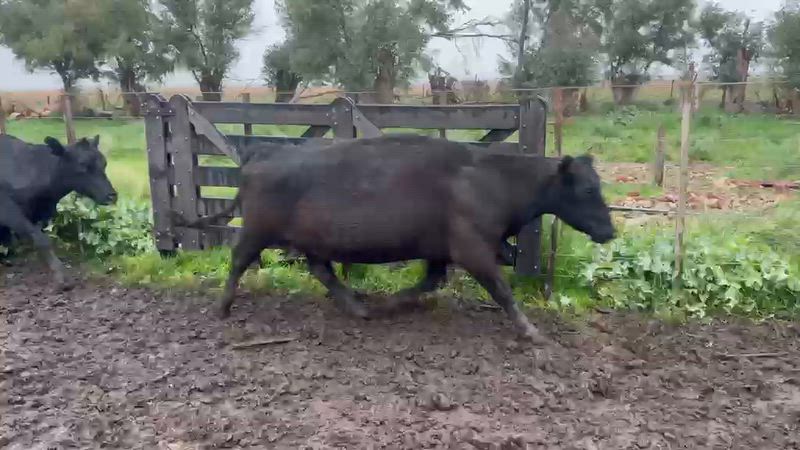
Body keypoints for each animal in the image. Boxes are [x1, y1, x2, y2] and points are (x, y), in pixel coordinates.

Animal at [0, 134, 118, 289]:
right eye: (83, 165)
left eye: (104, 163)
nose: (112, 195)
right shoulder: (8, 210)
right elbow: (41, 240)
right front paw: (61, 275)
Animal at [175, 134, 615, 342]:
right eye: (587, 189)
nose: (609, 231)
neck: (494, 181)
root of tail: (264, 153)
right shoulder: (472, 249)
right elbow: (503, 291)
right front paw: (530, 331)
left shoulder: (442, 251)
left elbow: (430, 281)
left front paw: (391, 303)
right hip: (256, 231)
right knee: (238, 261)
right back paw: (223, 308)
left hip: (310, 241)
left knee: (322, 271)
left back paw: (359, 307)